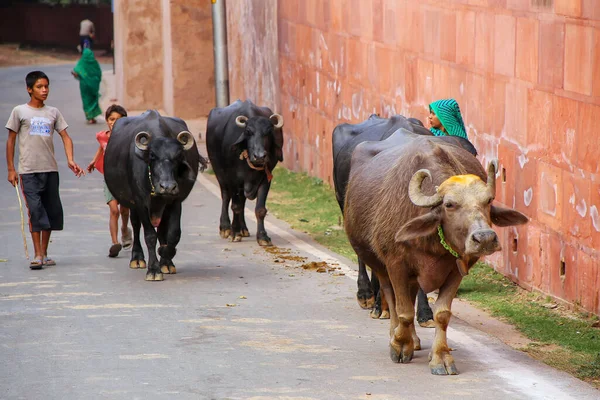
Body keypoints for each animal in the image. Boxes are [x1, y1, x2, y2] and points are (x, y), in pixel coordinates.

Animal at [105, 108, 204, 280]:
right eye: (152, 155)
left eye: (179, 156)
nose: (167, 187)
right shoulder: (140, 202)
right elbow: (150, 236)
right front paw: (153, 269)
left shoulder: (175, 201)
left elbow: (173, 234)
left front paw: (165, 257)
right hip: (133, 205)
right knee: (136, 225)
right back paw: (137, 258)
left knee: (163, 229)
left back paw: (165, 261)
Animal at [206, 99, 284, 247]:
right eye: (248, 131)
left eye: (268, 132)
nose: (259, 156)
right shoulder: (233, 179)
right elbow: (235, 206)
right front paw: (234, 233)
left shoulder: (265, 179)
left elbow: (260, 209)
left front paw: (263, 236)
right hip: (219, 172)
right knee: (226, 197)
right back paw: (226, 228)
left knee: (242, 200)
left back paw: (243, 229)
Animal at [344, 131, 528, 376]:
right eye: (449, 204)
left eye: (488, 201)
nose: (485, 238)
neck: (433, 243)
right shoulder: (396, 264)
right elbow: (402, 311)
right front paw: (399, 345)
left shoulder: (457, 269)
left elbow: (441, 314)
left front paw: (440, 357)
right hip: (376, 262)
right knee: (390, 298)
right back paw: (395, 335)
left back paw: (414, 340)